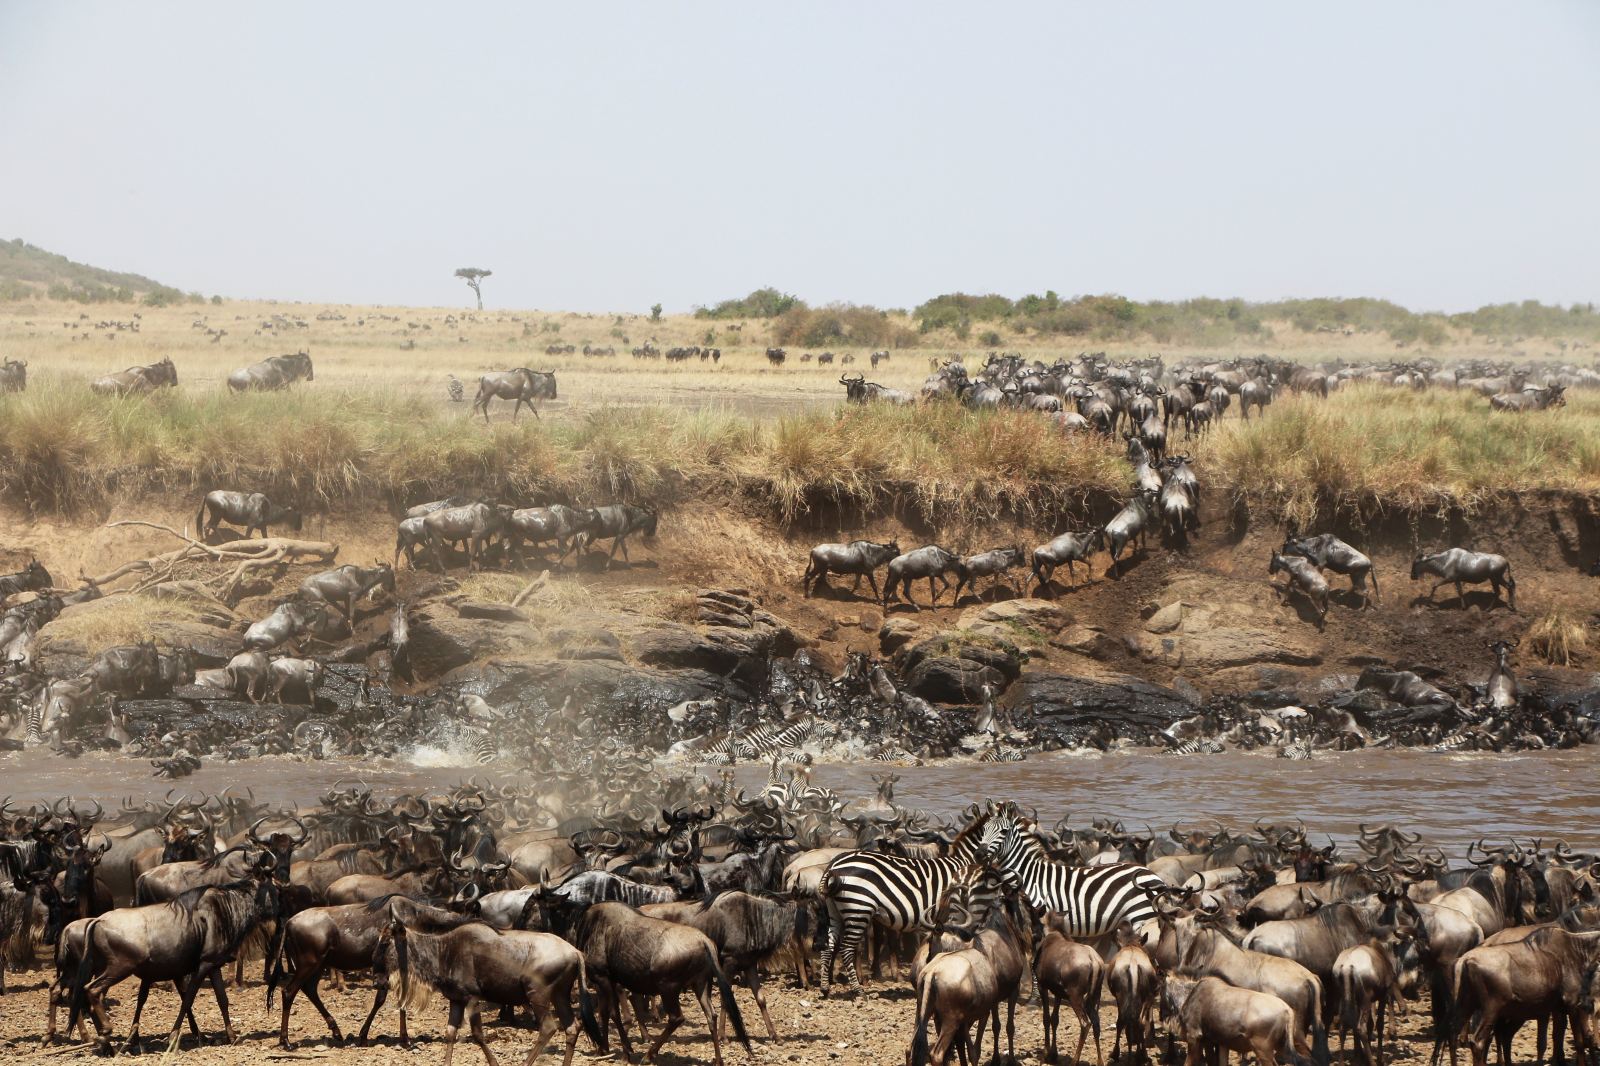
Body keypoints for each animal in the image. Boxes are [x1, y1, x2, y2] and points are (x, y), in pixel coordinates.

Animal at [819, 809, 1004, 992]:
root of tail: (834, 865)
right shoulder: (956, 913)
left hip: (837, 911)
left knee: (829, 946)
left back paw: (826, 987)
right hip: (858, 909)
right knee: (848, 948)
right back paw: (857, 989)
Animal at [985, 806, 1164, 941]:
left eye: (1003, 832)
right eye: (984, 830)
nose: (980, 852)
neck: (1029, 876)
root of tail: (1153, 874)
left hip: (1142, 916)